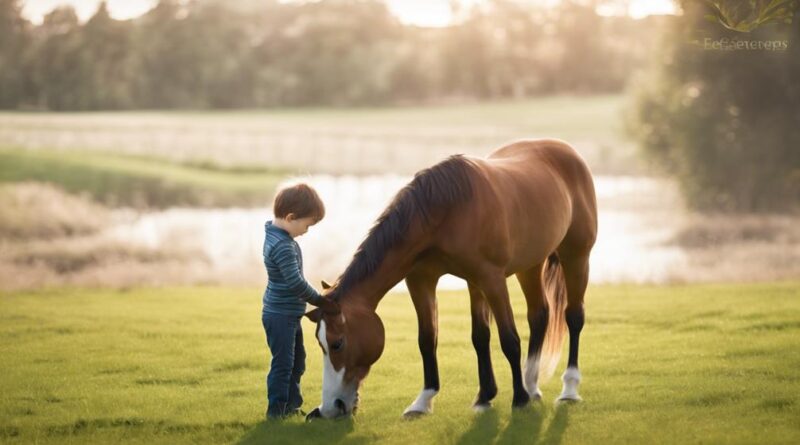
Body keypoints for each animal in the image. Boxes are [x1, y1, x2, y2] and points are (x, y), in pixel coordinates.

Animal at [304, 138, 596, 416]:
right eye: (321, 344)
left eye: (337, 343)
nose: (331, 407)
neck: (447, 210)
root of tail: (565, 150)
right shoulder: (427, 280)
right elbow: (441, 338)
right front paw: (438, 400)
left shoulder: (492, 280)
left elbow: (509, 340)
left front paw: (519, 399)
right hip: (530, 266)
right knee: (539, 316)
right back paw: (532, 385)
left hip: (576, 257)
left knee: (574, 316)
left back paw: (567, 389)